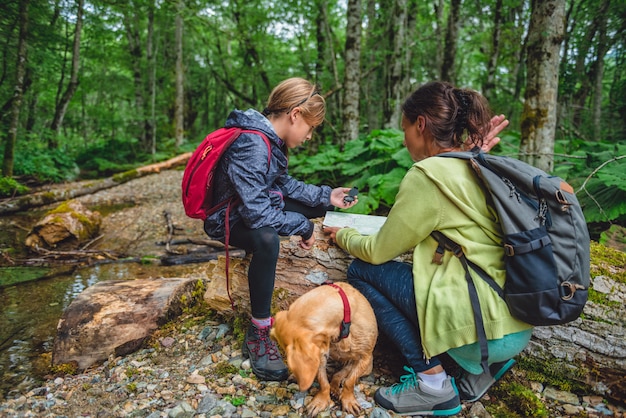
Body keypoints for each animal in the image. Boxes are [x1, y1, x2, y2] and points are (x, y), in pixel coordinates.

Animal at [268, 280, 376, 414]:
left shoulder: (364, 358)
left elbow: (349, 382)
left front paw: (348, 400)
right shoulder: (320, 356)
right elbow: (323, 382)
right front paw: (320, 401)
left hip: (365, 367)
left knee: (339, 375)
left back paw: (336, 388)